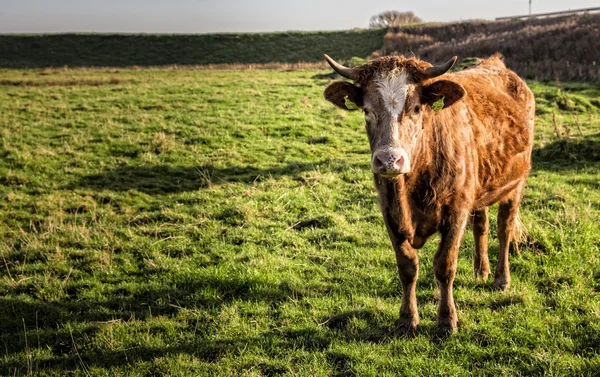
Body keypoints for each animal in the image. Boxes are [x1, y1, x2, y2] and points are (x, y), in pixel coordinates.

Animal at [324, 53, 536, 334]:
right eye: (367, 110)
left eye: (416, 108)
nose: (389, 160)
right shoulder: (389, 213)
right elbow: (407, 266)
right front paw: (407, 319)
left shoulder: (456, 211)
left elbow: (445, 265)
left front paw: (446, 320)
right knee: (481, 225)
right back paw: (481, 270)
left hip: (516, 184)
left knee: (504, 229)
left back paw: (501, 279)